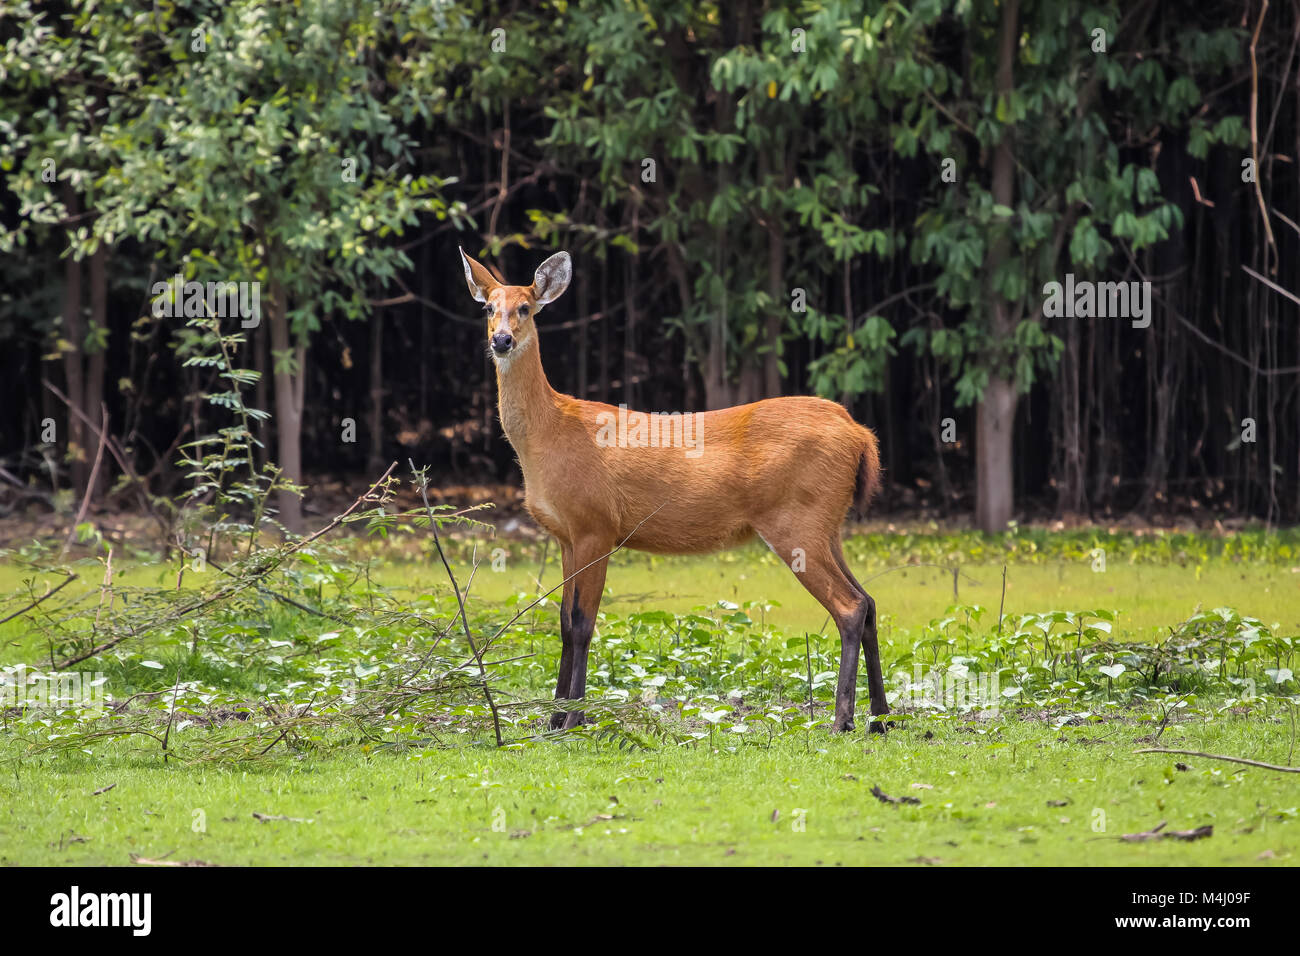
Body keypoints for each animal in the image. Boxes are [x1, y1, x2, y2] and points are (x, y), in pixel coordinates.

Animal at [460, 247, 894, 733]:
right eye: (488, 307)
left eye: (525, 308)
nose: (501, 341)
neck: (547, 436)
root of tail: (860, 434)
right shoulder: (565, 536)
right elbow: (563, 623)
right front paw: (554, 719)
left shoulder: (597, 526)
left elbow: (583, 623)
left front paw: (574, 719)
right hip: (828, 525)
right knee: (869, 601)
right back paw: (880, 716)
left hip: (796, 521)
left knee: (849, 606)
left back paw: (843, 720)